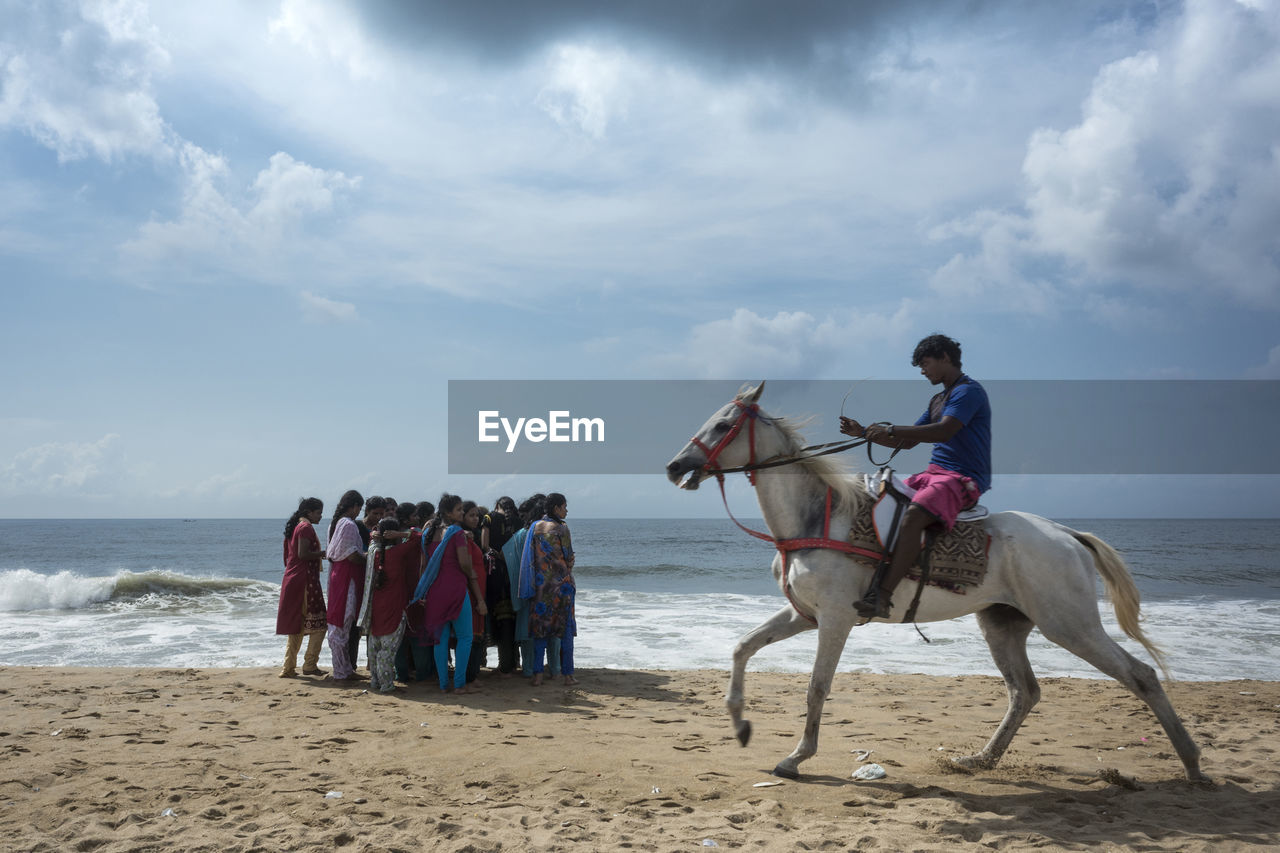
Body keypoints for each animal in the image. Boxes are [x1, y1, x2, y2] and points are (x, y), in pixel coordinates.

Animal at [665, 381, 1203, 778]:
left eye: (724, 424)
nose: (675, 466)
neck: (818, 516)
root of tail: (1068, 535)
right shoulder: (805, 615)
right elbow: (742, 647)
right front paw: (740, 725)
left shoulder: (835, 619)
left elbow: (817, 687)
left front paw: (797, 757)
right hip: (1003, 623)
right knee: (1024, 691)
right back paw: (980, 759)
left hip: (1070, 624)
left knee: (1140, 675)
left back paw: (1193, 764)